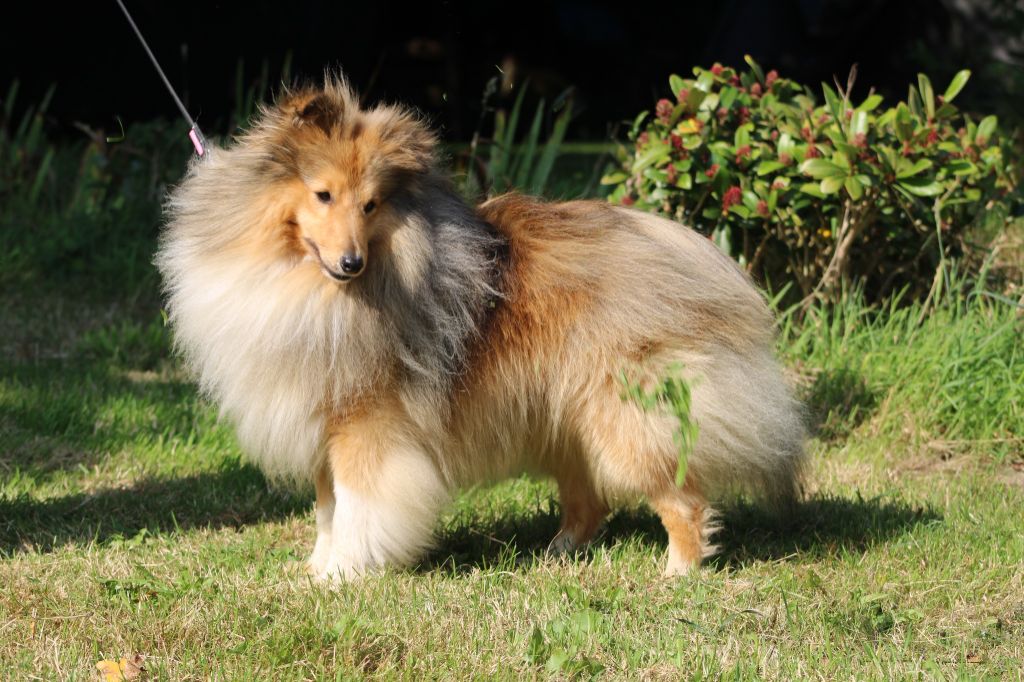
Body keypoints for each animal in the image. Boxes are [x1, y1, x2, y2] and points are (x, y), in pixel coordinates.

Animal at [155, 75, 802, 577]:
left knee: (679, 496)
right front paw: (317, 570)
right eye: (323, 195)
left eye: (370, 205)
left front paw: (345, 573)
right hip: (565, 418)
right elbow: (326, 508)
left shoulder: (367, 425)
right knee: (588, 501)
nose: (352, 263)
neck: (308, 285)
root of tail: (690, 251)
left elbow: (359, 506)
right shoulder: (324, 423)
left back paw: (676, 572)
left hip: (625, 414)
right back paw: (558, 551)